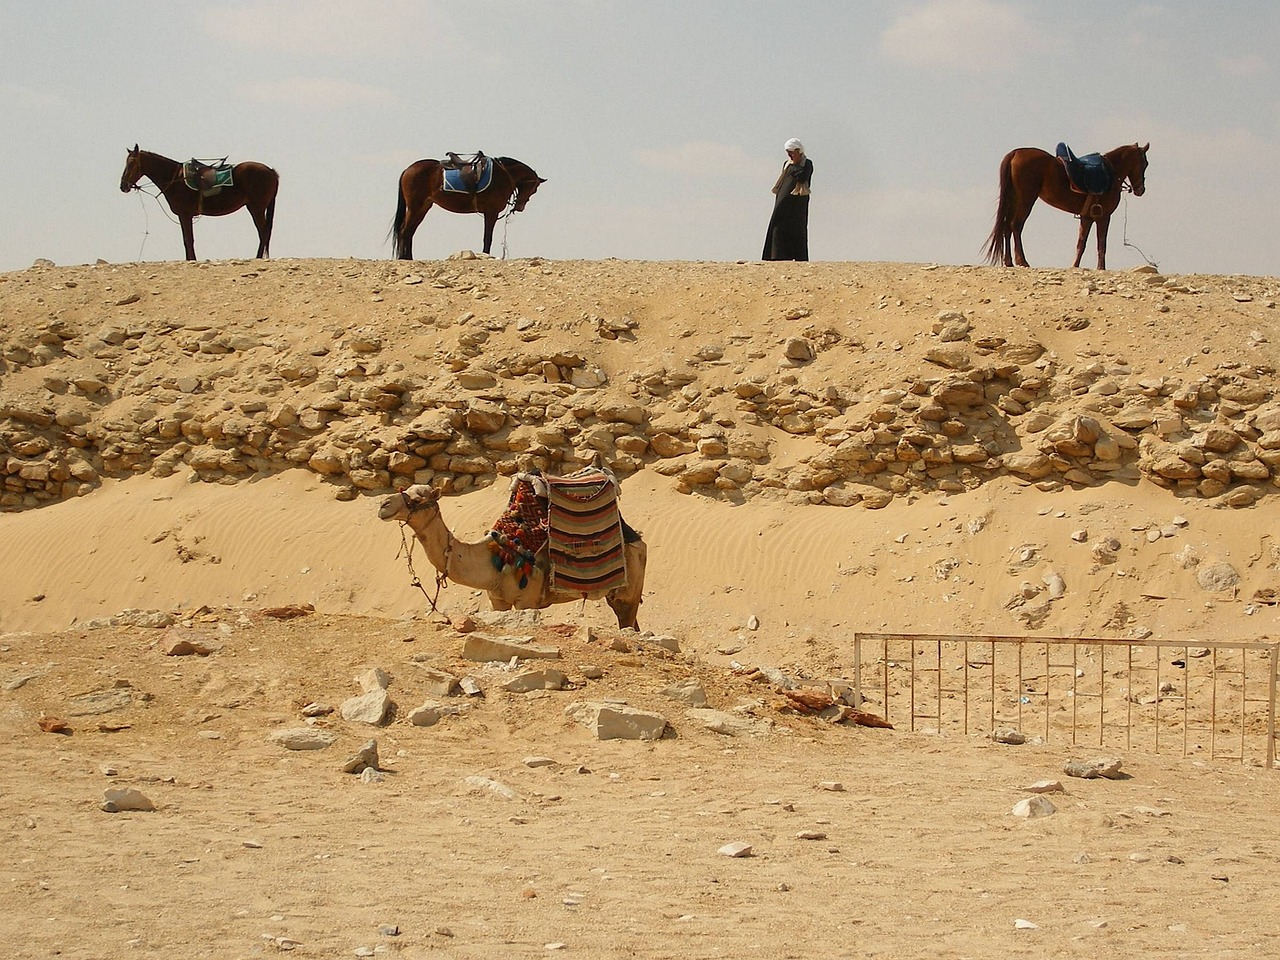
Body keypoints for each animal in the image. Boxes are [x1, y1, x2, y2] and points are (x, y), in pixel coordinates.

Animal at [119, 144, 279, 261]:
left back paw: (258, 257)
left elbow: (188, 240)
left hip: (256, 208)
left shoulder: (185, 215)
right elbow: (187, 240)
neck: (175, 179)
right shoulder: (184, 216)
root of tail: (271, 171)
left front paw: (191, 260)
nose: (123, 186)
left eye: (132, 163)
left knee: (263, 232)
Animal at [373, 481, 645, 632]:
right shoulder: (498, 600)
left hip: (627, 592)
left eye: (418, 498)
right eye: (405, 489)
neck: (494, 559)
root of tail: (638, 540)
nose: (384, 505)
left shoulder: (527, 600)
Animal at [983, 142, 1157, 271]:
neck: (1110, 173)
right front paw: (1101, 268)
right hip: (1026, 199)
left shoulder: (1087, 217)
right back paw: (1022, 261)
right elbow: (1101, 243)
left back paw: (1009, 262)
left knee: (1006, 226)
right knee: (1016, 225)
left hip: (1014, 199)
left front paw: (1075, 265)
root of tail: (1016, 153)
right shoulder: (1104, 217)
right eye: (1145, 163)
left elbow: (1081, 243)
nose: (1141, 190)